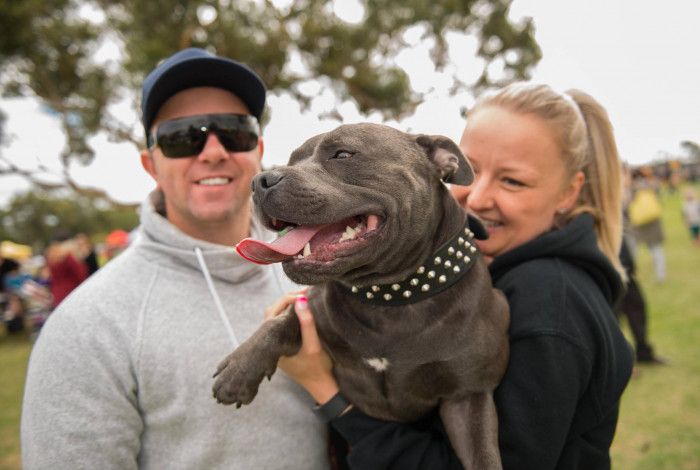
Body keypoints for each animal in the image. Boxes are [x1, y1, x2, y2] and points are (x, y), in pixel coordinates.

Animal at [212, 122, 508, 470]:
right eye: (293, 159)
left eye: (342, 154)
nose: (260, 182)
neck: (389, 297)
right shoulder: (315, 311)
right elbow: (284, 320)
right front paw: (240, 368)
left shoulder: (469, 396)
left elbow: (483, 457)